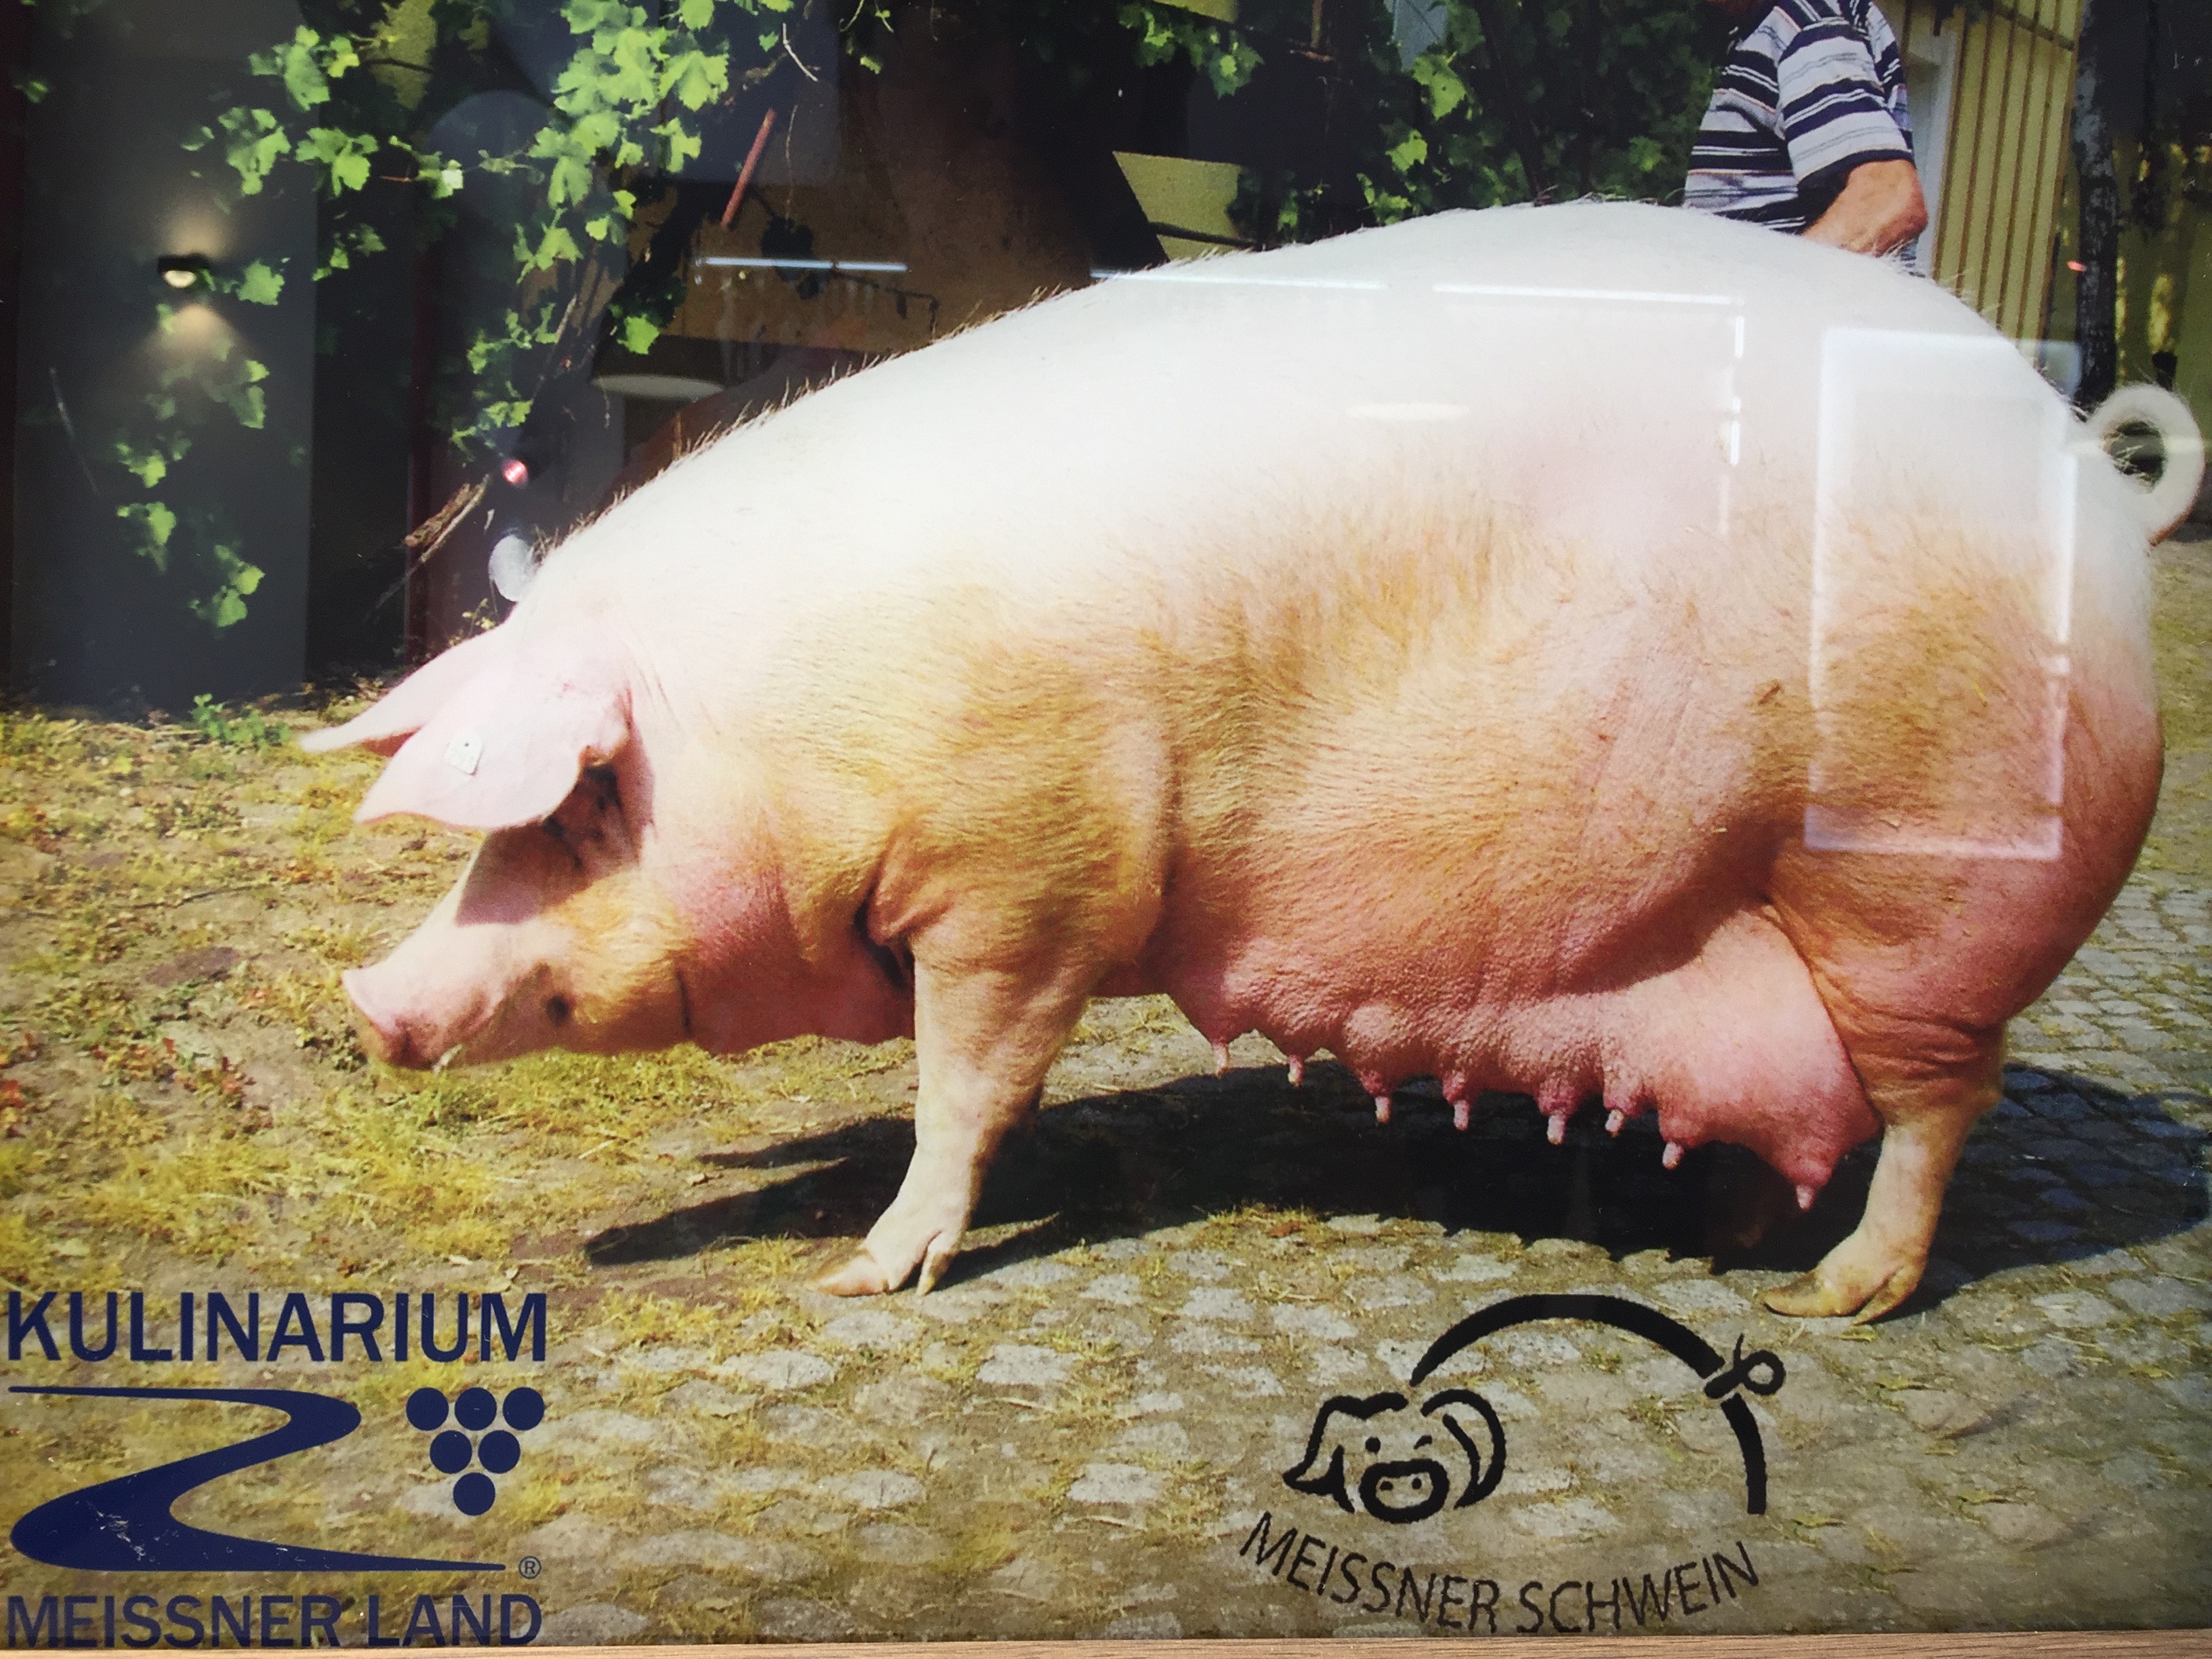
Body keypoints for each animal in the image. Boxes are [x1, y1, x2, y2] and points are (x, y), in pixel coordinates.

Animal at [303, 202, 2183, 1322]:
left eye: (574, 815)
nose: (367, 1000)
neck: (788, 729)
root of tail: (2084, 483)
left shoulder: (1028, 884)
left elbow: (966, 1088)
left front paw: (866, 1279)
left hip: (1918, 892)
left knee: (1941, 1109)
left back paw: (1829, 1298)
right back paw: (1729, 1240)